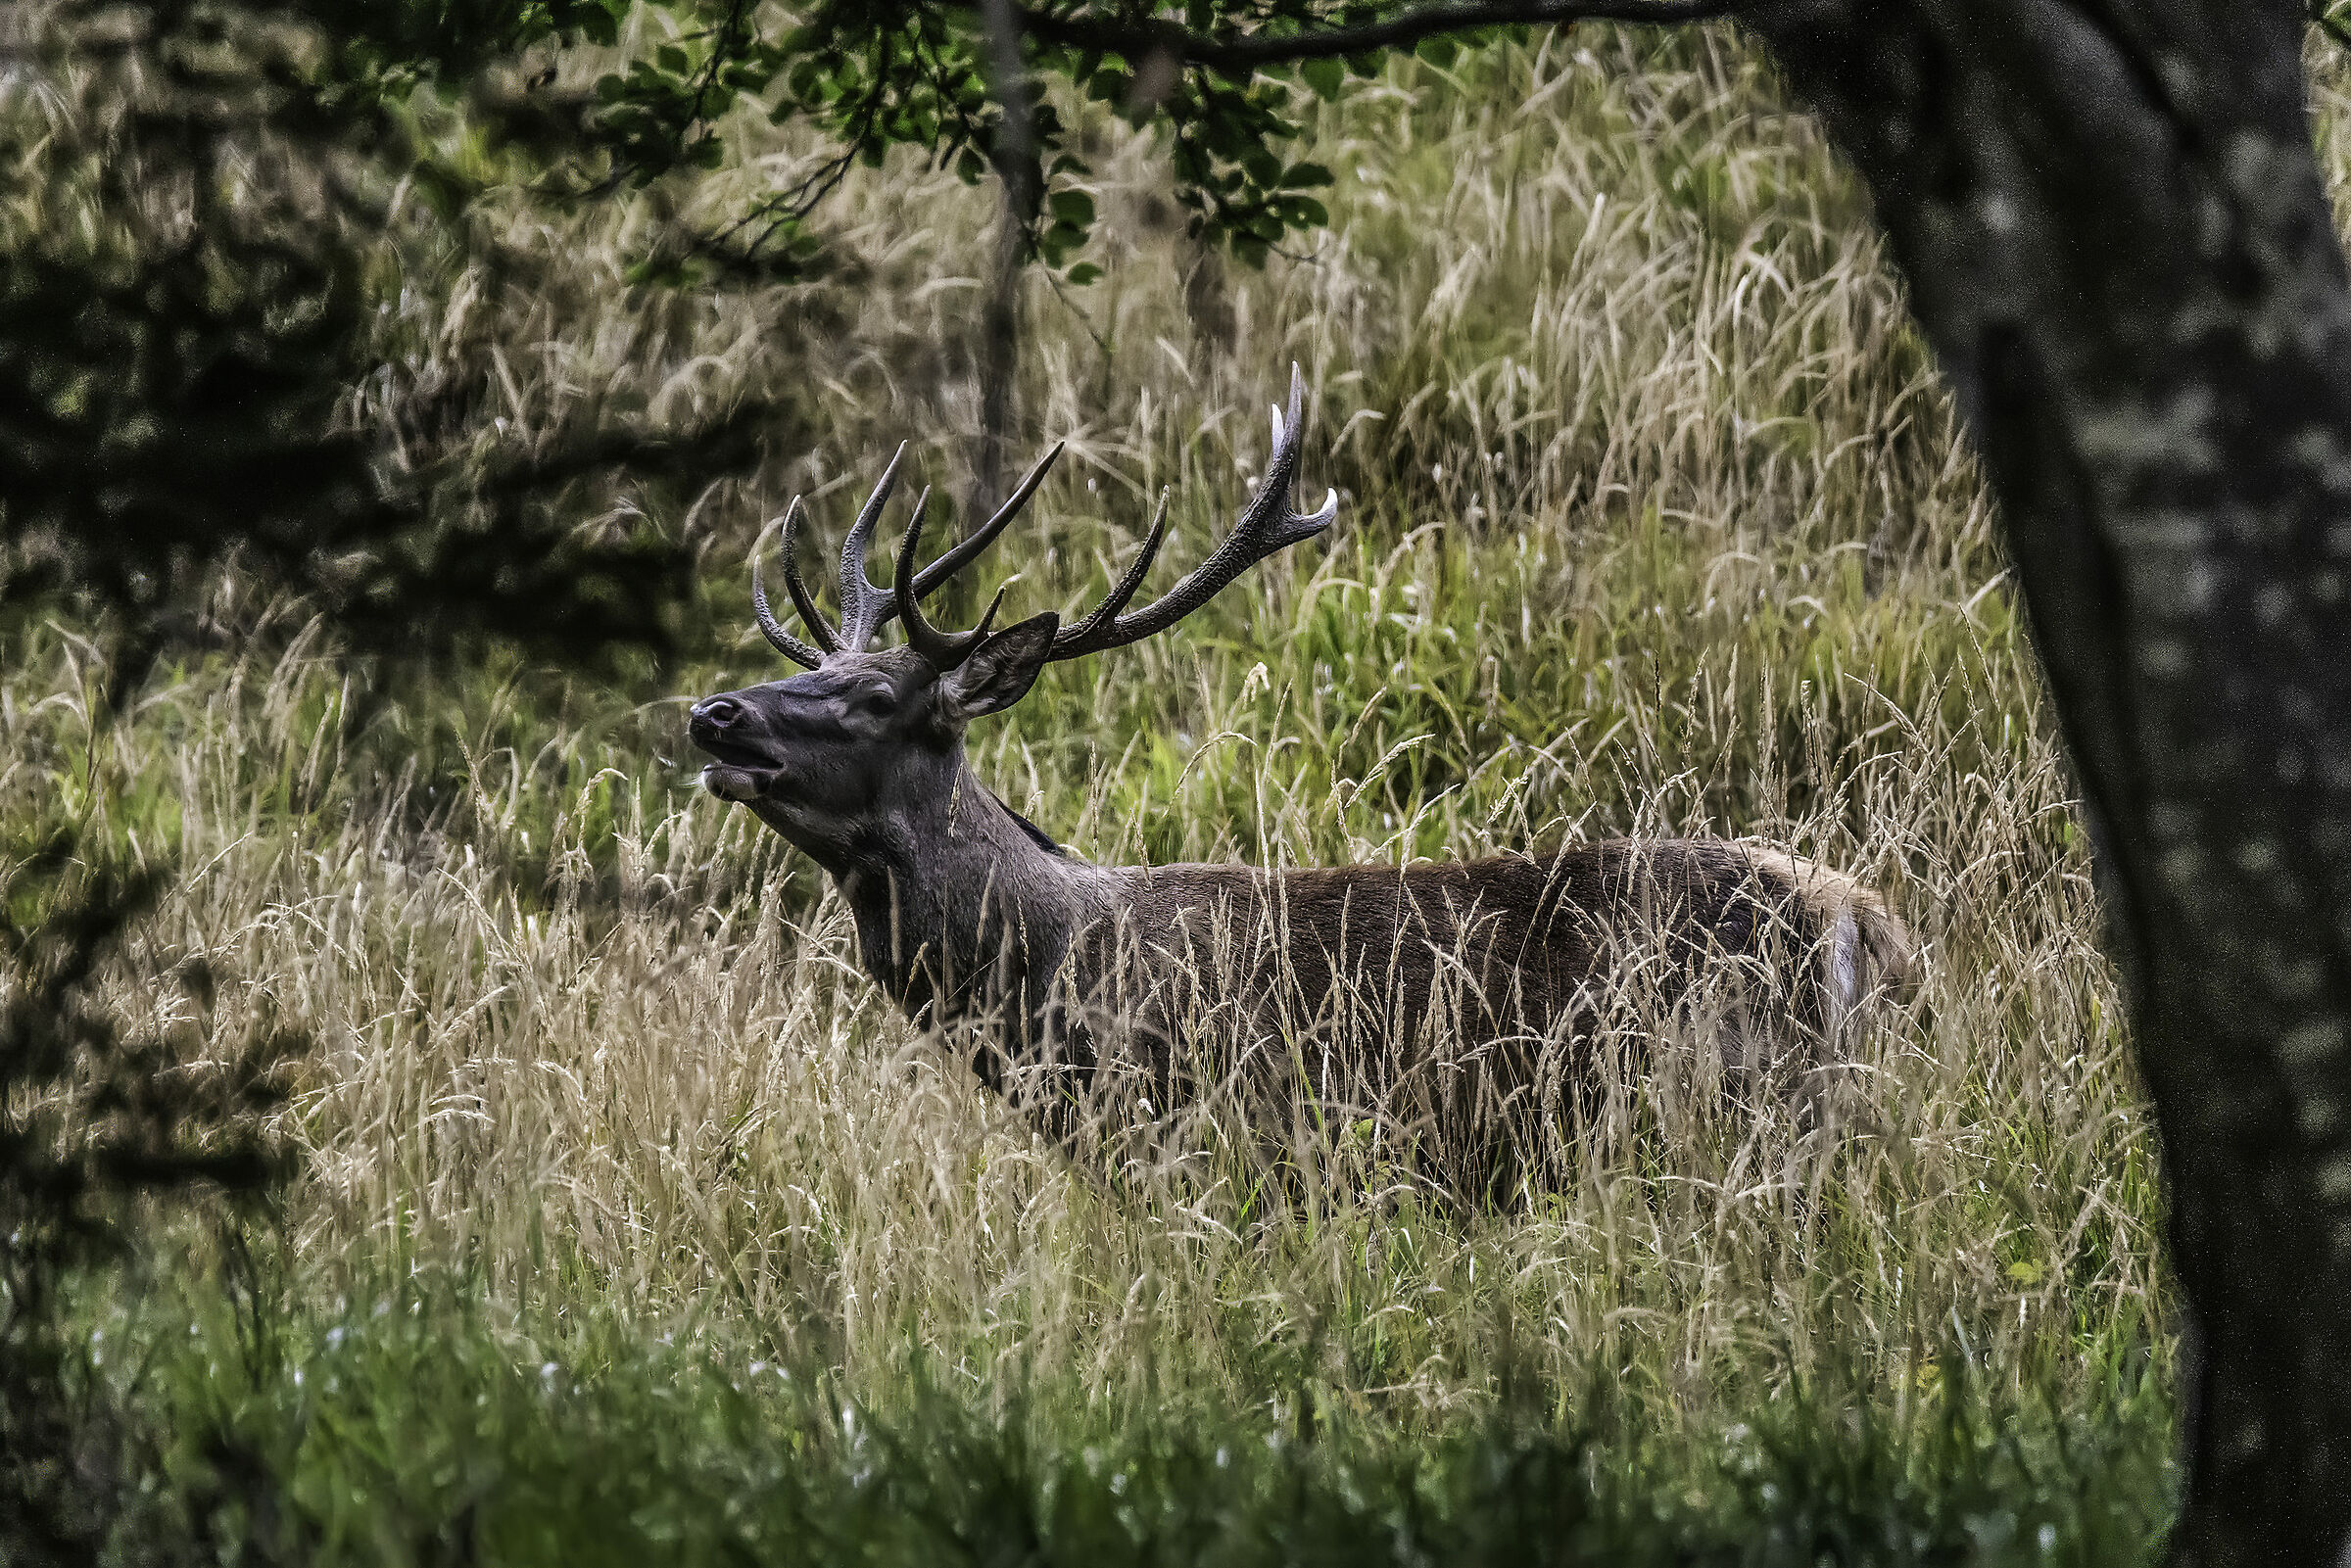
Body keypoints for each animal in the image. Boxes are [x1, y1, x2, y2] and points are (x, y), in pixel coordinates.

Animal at [690, 369, 1911, 1201]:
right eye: (817, 672)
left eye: (870, 696)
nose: (716, 712)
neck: (1049, 985)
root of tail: (1870, 921)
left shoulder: (1242, 1144)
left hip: (1743, 1103)